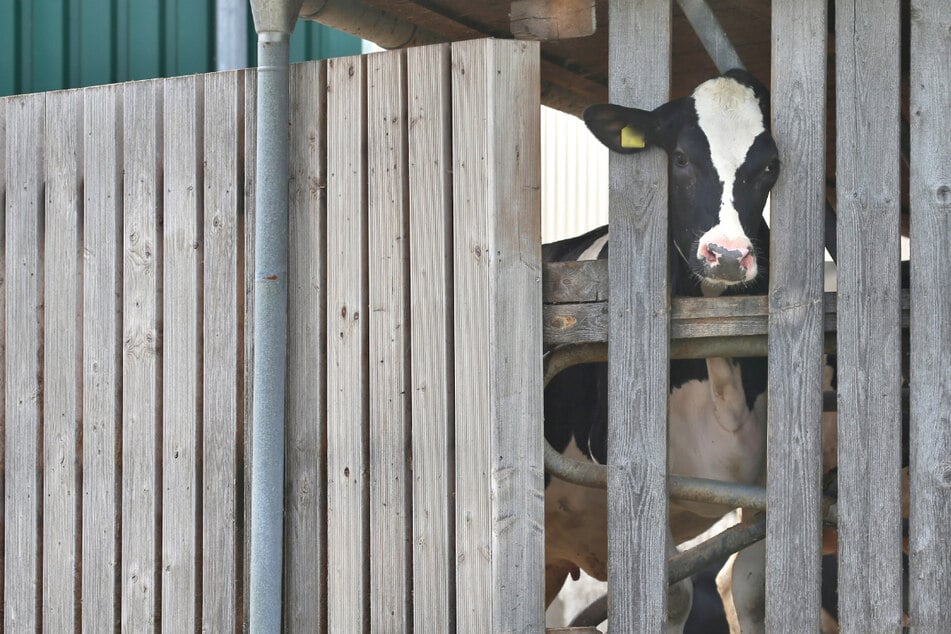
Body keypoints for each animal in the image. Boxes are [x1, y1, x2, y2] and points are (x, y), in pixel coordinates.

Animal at [544, 70, 788, 632]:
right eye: (679, 157)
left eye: (769, 166)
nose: (726, 256)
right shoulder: (627, 463)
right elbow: (671, 592)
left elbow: (752, 588)